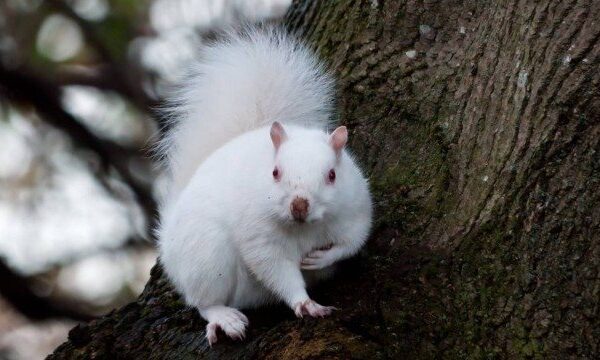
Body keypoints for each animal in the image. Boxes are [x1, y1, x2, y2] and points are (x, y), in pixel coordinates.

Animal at [156, 26, 370, 346]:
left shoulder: (355, 212)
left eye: (332, 175)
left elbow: (352, 243)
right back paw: (224, 317)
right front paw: (305, 303)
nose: (299, 205)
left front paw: (323, 258)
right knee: (203, 301)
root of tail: (168, 242)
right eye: (275, 172)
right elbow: (277, 270)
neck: (304, 229)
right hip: (206, 254)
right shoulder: (261, 238)